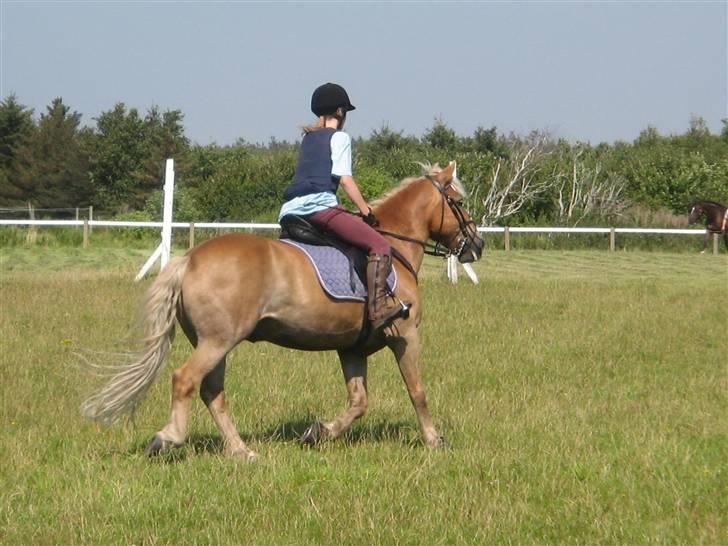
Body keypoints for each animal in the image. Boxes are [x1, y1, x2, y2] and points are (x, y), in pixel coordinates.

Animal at [81, 159, 484, 456]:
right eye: (460, 203)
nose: (476, 246)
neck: (394, 245)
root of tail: (189, 259)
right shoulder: (405, 335)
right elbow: (417, 390)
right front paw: (434, 440)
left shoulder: (351, 348)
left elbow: (358, 401)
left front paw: (319, 432)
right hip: (218, 340)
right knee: (185, 380)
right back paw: (170, 438)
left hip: (215, 342)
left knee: (212, 391)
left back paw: (241, 451)